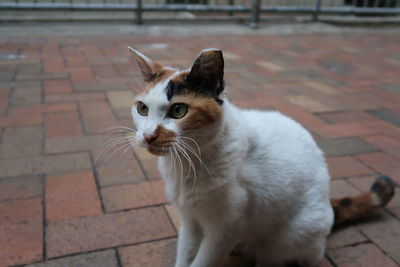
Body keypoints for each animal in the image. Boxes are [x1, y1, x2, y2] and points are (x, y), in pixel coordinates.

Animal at [127, 47, 394, 266]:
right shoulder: (190, 220)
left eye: (179, 110)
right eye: (142, 108)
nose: (148, 136)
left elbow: (203, 261)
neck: (186, 165)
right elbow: (185, 254)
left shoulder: (225, 229)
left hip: (291, 237)